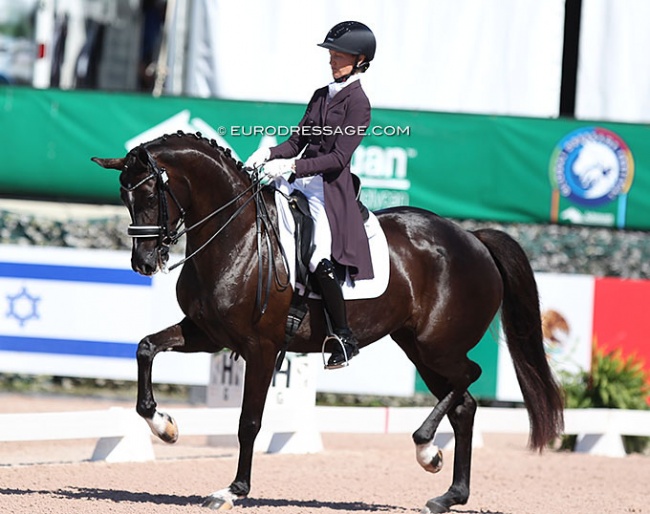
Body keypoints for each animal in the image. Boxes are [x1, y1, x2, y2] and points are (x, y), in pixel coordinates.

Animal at [92, 133, 560, 512]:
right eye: (124, 198)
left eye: (151, 195)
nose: (143, 263)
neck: (238, 237)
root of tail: (473, 238)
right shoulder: (208, 334)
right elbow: (146, 347)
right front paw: (165, 427)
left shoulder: (261, 348)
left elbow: (249, 422)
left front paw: (233, 490)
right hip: (419, 348)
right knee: (464, 404)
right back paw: (448, 495)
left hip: (437, 345)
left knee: (469, 377)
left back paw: (426, 449)